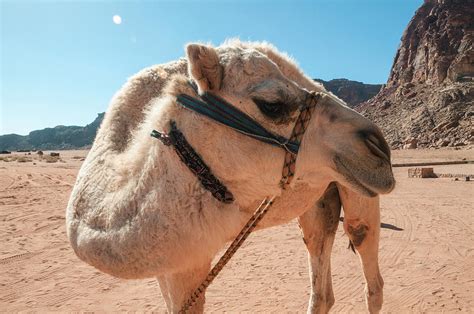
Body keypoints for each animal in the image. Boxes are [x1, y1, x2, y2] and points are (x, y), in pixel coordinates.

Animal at [65, 40, 392, 312]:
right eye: (271, 104)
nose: (380, 149)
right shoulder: (171, 259)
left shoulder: (190, 257)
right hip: (320, 198)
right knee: (320, 271)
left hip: (356, 192)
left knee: (367, 263)